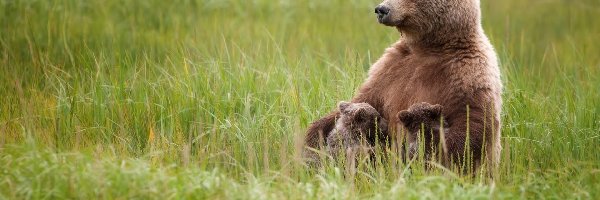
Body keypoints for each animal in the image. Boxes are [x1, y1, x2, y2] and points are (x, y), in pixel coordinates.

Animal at [304, 0, 502, 175]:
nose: (381, 9)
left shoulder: (468, 73)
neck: (431, 47)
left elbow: (471, 126)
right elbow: (362, 99)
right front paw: (312, 141)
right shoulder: (390, 69)